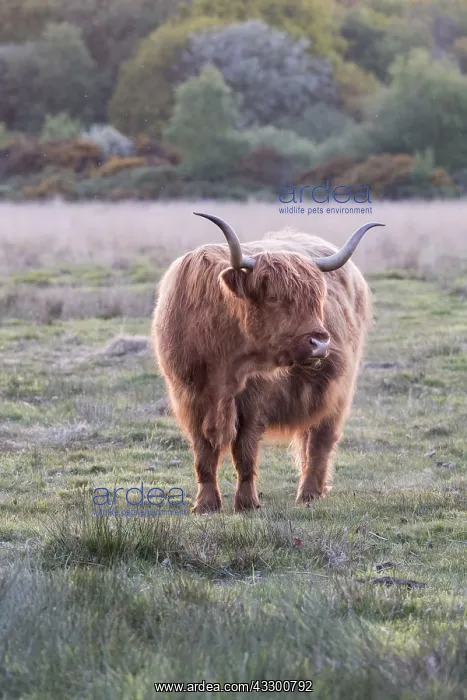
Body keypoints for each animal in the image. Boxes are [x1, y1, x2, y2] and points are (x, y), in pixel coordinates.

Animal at [152, 213, 384, 514]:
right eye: (273, 297)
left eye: (317, 298)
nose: (320, 343)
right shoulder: (189, 397)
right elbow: (203, 452)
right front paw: (205, 504)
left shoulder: (255, 400)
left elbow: (245, 451)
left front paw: (247, 503)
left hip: (338, 391)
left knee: (320, 440)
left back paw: (309, 493)